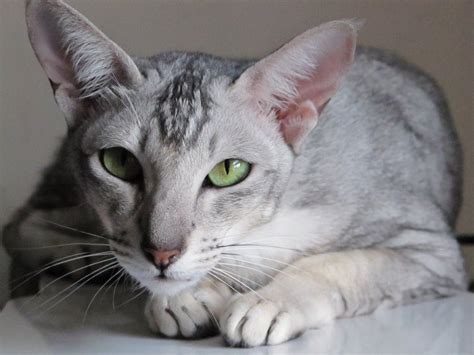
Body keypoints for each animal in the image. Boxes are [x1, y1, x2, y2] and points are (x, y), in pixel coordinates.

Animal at [0, 0, 466, 348]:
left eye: (229, 170)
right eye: (120, 162)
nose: (162, 254)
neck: (263, 227)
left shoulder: (432, 248)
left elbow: (338, 262)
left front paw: (271, 300)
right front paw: (185, 295)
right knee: (21, 223)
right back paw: (82, 254)